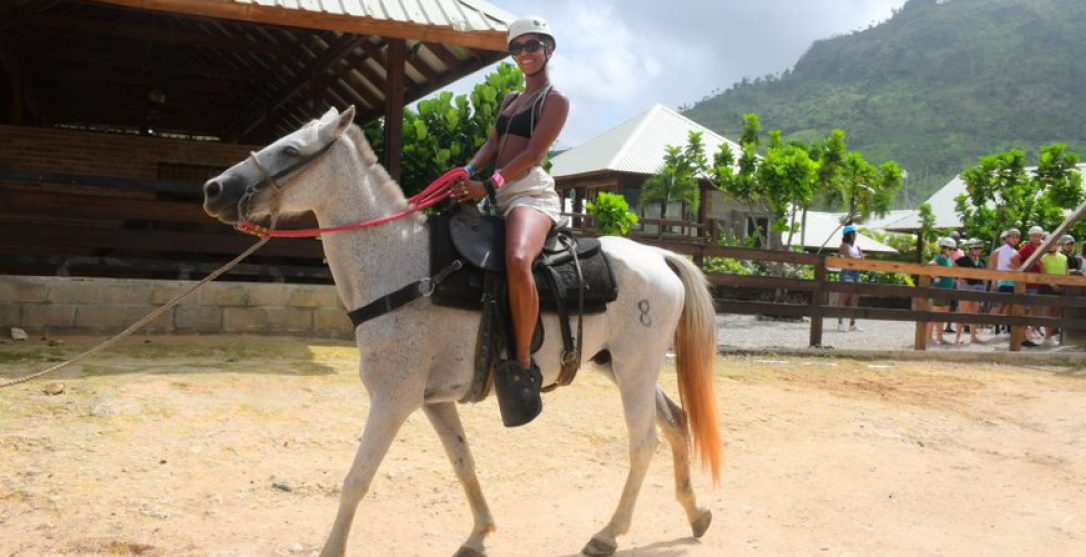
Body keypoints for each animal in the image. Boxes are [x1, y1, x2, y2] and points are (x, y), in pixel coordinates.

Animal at [202, 106, 723, 557]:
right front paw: (480, 534)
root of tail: (660, 256)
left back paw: (608, 534)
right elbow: (463, 463)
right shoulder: (434, 402)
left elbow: (356, 480)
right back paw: (696, 514)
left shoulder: (392, 400)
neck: (405, 269)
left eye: (290, 149)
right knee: (676, 423)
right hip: (618, 366)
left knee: (644, 442)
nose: (214, 188)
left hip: (635, 370)